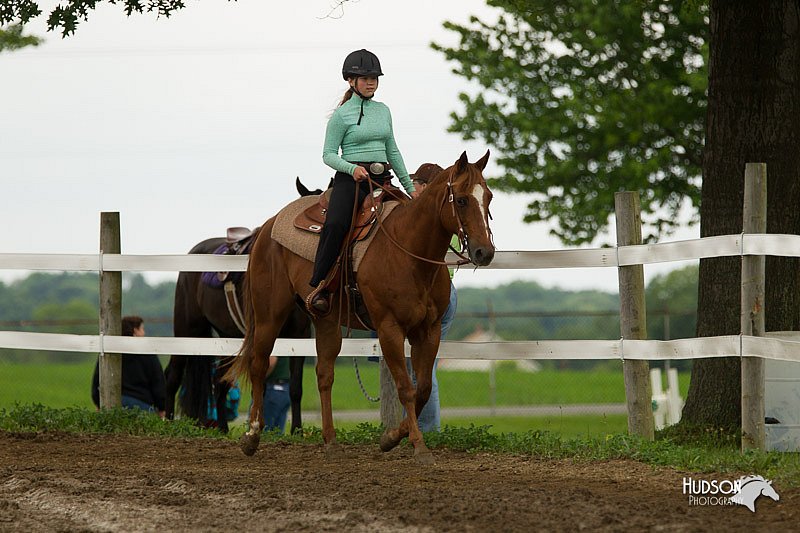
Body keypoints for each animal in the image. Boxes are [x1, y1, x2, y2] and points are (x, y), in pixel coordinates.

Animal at [222, 150, 490, 462]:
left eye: (489, 197)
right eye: (461, 199)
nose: (485, 252)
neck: (409, 252)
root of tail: (268, 226)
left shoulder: (429, 330)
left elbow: (422, 389)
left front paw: (390, 438)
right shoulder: (389, 329)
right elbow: (406, 389)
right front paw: (418, 446)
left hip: (325, 320)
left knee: (324, 374)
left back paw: (330, 440)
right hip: (269, 314)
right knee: (259, 364)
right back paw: (252, 436)